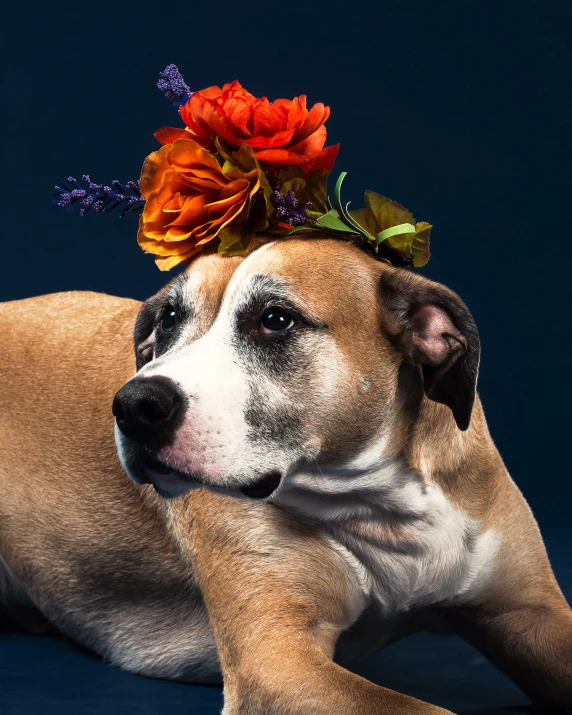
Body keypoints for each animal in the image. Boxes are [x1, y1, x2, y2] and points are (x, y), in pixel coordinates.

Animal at [1, 238, 572, 712]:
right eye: (168, 318)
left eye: (276, 319)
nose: (135, 405)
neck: (388, 504)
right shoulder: (281, 663)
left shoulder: (531, 613)